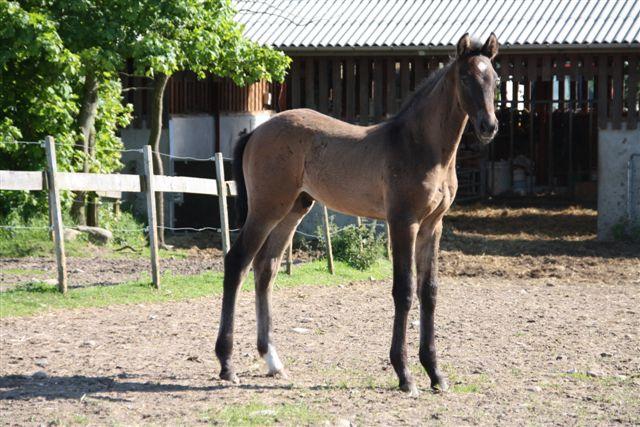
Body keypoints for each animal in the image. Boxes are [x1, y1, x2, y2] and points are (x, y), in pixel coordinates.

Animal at [215, 33, 500, 394]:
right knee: (237, 263)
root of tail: (256, 132)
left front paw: (436, 374)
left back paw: (272, 361)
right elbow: (404, 290)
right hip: (267, 207)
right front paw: (405, 375)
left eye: (495, 79)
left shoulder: (432, 226)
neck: (420, 145)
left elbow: (430, 291)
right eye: (465, 77)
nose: (489, 126)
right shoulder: (403, 222)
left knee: (266, 268)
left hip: (294, 208)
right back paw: (227, 365)